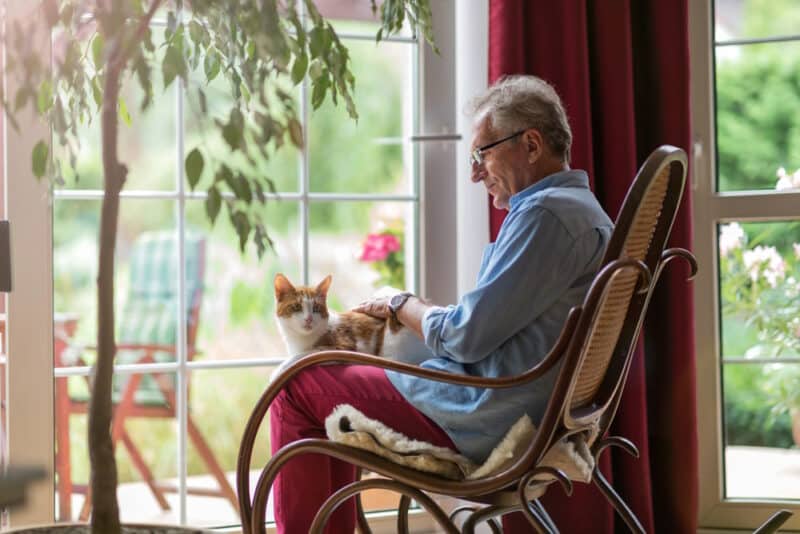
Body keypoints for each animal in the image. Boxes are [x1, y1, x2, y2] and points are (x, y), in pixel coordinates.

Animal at [274, 274, 434, 370]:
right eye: (296, 307)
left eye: (316, 308)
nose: (308, 319)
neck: (301, 339)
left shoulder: (344, 347)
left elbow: (305, 355)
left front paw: (280, 369)